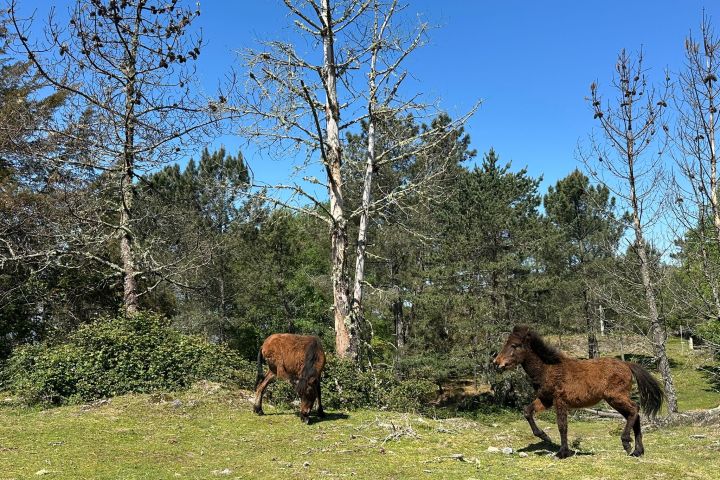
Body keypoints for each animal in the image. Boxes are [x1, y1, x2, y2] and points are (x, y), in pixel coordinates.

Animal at [493, 325, 664, 458]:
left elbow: (562, 425)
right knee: (633, 414)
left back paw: (627, 443)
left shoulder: (559, 400)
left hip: (616, 397)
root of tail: (627, 364)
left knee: (634, 410)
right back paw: (637, 451)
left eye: (514, 345)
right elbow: (527, 411)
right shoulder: (545, 400)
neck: (548, 368)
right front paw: (544, 436)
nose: (497, 363)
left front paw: (562, 453)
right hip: (615, 400)